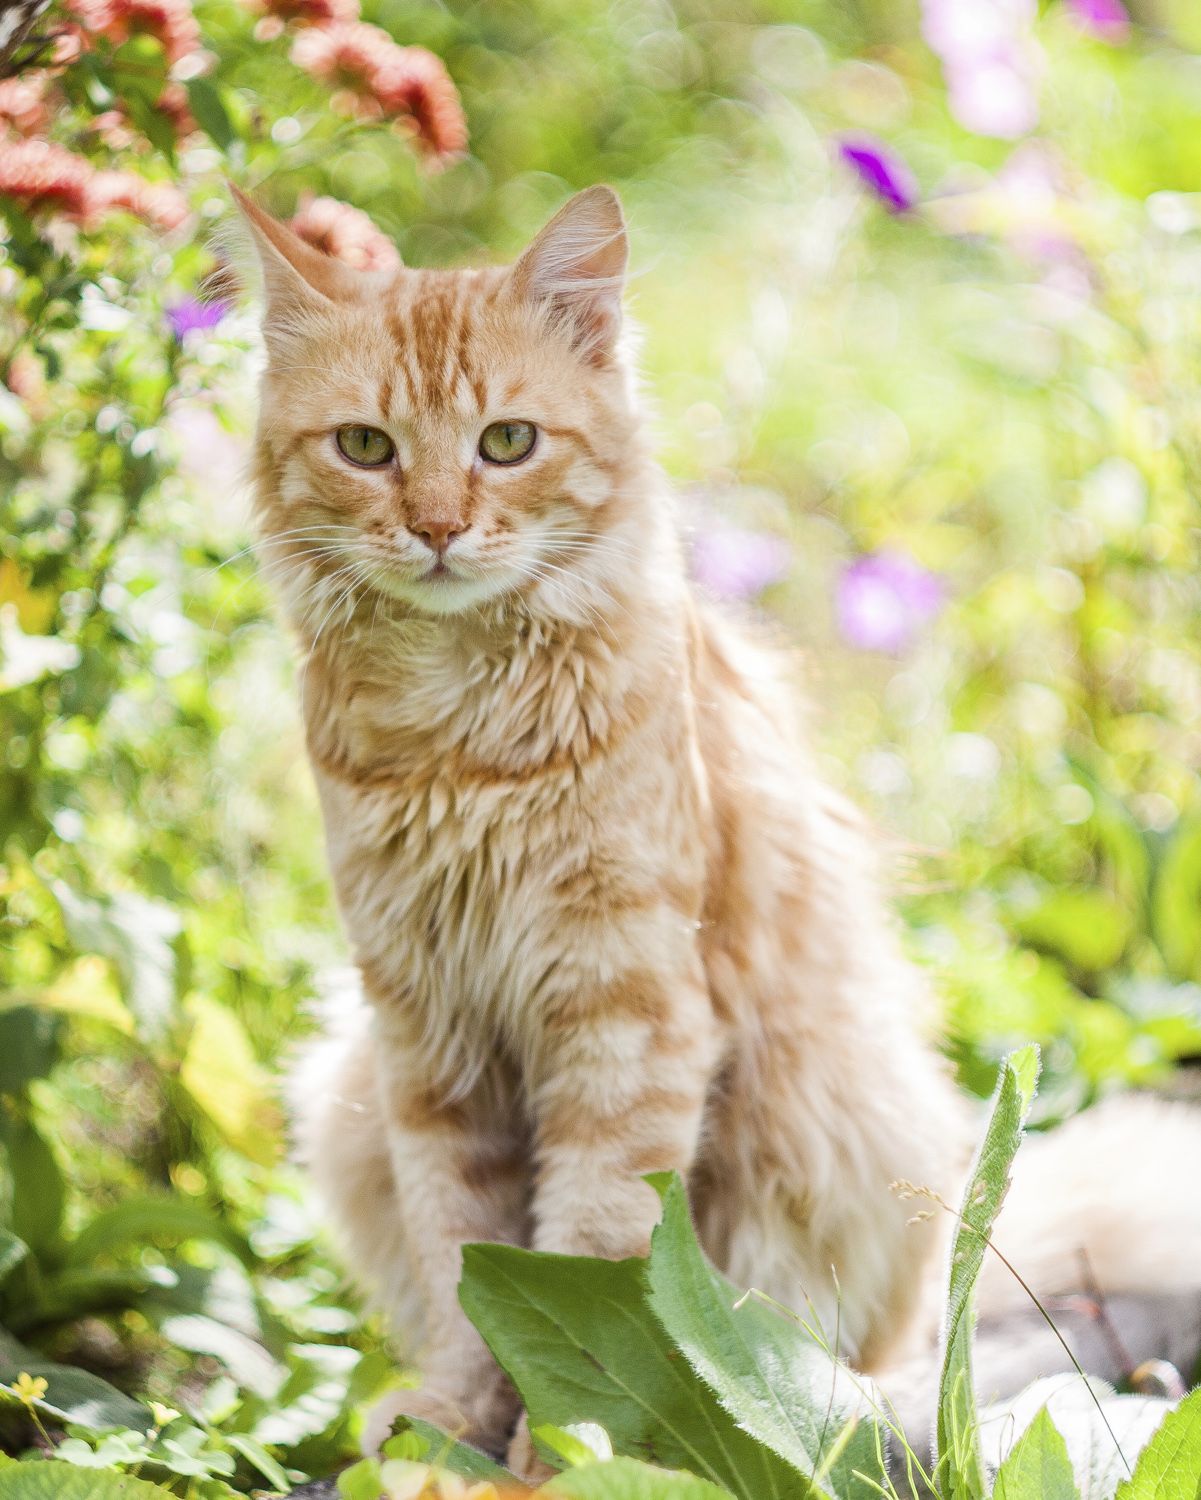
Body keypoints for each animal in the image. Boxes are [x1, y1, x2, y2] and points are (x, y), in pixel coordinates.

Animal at [232, 181, 1199, 1470]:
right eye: (366, 449)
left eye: (507, 443)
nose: (436, 528)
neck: (459, 734)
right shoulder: (424, 1032)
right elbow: (461, 1260)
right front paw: (448, 1426)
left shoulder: (626, 1017)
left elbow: (588, 1243)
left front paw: (561, 1458)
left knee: (864, 1375)